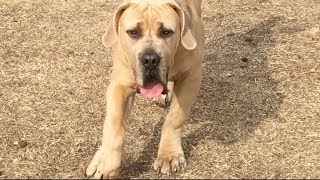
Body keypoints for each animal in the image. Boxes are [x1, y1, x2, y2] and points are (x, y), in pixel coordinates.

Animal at [85, 0, 205, 178]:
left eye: (166, 32)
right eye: (133, 32)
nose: (150, 59)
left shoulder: (191, 79)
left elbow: (175, 118)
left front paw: (169, 155)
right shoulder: (120, 84)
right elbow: (114, 123)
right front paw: (106, 162)